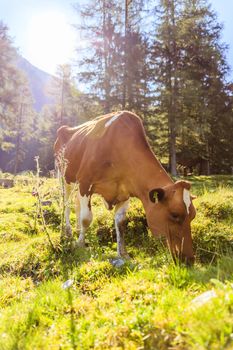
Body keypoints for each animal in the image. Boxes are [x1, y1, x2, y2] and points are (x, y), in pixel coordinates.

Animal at [53, 110, 196, 264]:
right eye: (174, 214)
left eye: (193, 216)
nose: (189, 259)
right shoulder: (85, 183)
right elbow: (86, 218)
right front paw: (80, 245)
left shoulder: (125, 192)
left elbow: (120, 223)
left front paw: (123, 254)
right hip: (63, 178)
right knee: (66, 205)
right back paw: (67, 232)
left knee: (76, 204)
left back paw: (77, 229)